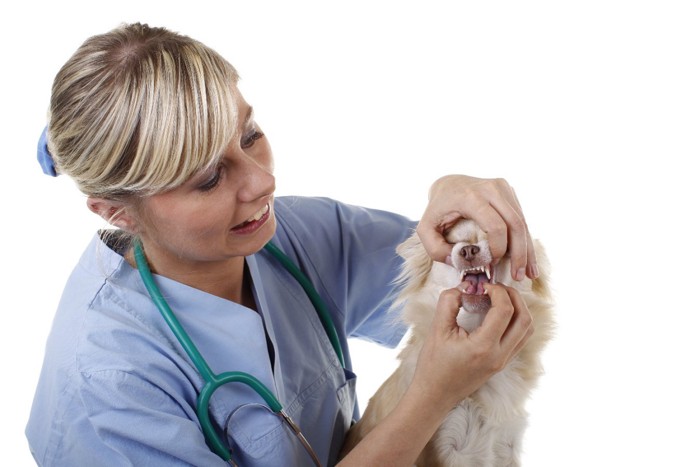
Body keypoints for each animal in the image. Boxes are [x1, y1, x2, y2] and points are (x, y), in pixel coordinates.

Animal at [342, 220, 556, 467]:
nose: (469, 250)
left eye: (500, 241)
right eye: (451, 242)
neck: (474, 325)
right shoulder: (447, 448)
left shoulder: (507, 446)